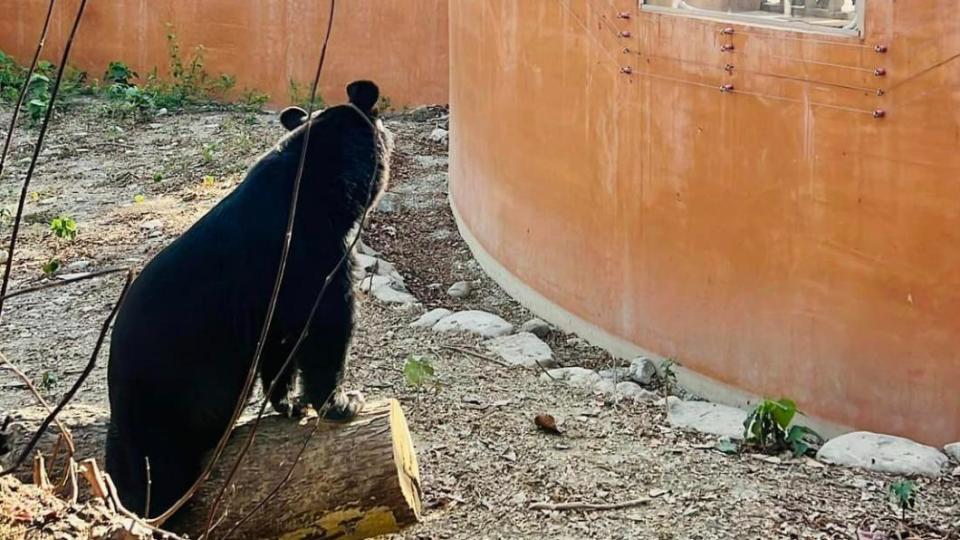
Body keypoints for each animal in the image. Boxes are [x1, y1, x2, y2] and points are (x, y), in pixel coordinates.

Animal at [104, 80, 390, 520]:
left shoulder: (270, 300)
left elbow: (281, 344)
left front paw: (289, 403)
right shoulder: (315, 255)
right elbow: (327, 328)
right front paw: (342, 403)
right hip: (167, 413)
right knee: (163, 482)